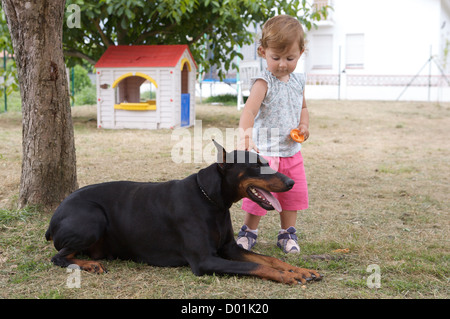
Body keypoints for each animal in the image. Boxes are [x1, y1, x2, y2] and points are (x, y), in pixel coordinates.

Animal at [44, 141, 320, 286]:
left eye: (267, 162)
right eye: (256, 165)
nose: (291, 182)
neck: (211, 200)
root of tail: (54, 218)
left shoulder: (230, 248)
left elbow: (268, 259)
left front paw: (300, 270)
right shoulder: (205, 260)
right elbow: (257, 266)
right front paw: (288, 276)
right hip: (93, 218)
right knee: (58, 257)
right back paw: (89, 264)